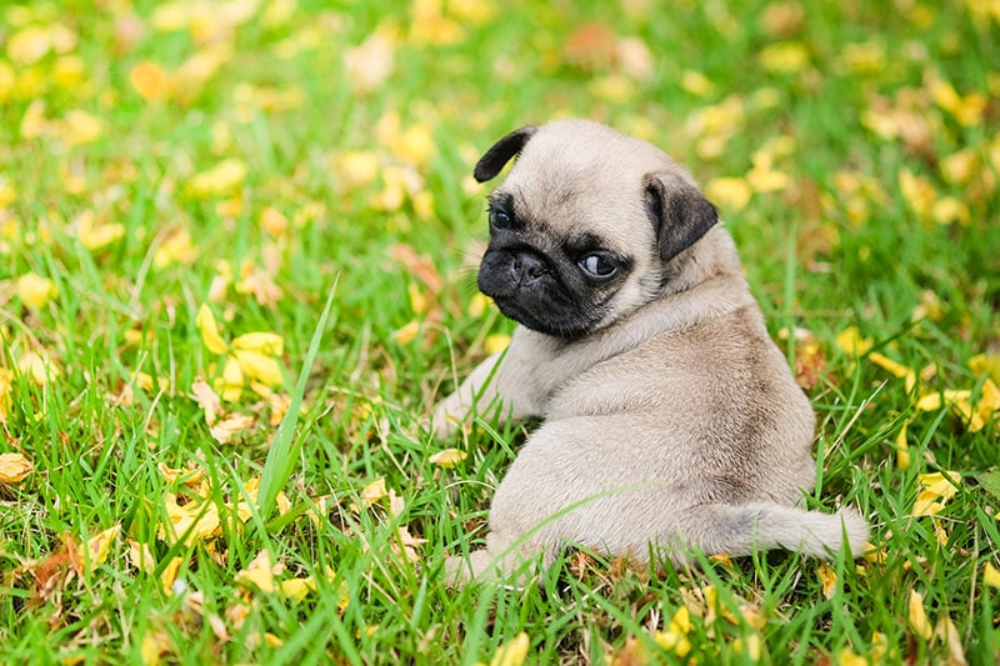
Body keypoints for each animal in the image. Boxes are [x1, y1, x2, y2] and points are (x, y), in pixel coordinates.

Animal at [434, 119, 872, 580]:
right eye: (500, 218)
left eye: (598, 264)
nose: (529, 263)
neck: (685, 276)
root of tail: (701, 516)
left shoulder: (518, 367)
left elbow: (459, 404)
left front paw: (416, 429)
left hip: (541, 461)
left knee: (521, 563)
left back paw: (452, 570)